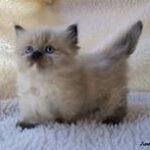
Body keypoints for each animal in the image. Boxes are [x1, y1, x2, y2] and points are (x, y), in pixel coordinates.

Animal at [14, 21, 142, 129]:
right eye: (29, 49)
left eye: (49, 49)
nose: (36, 53)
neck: (43, 79)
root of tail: (110, 54)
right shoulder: (30, 99)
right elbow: (30, 113)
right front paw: (27, 123)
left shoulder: (67, 98)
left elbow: (67, 114)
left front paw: (63, 122)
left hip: (113, 94)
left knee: (118, 107)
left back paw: (111, 120)